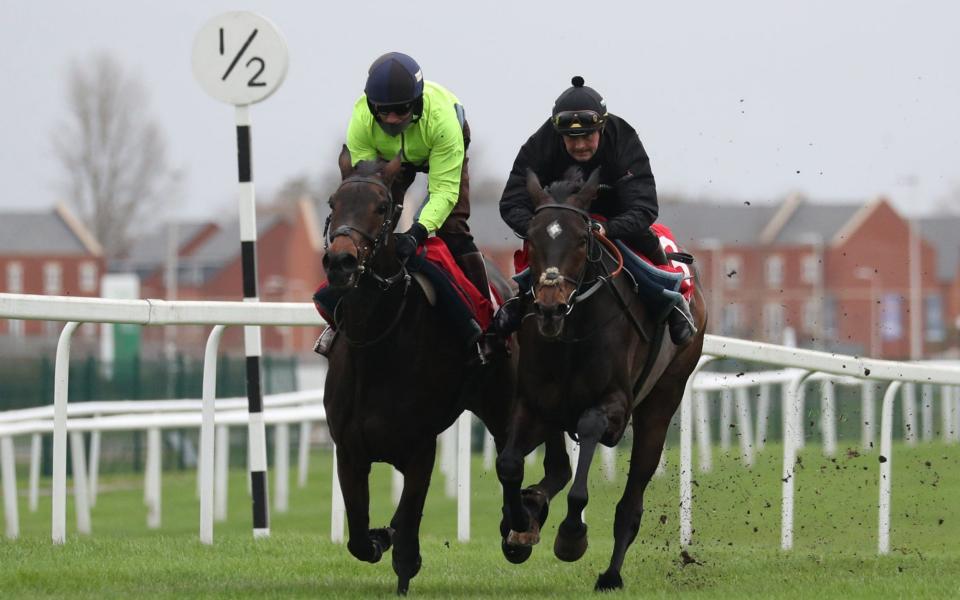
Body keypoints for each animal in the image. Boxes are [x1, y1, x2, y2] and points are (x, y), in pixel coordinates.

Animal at [318, 148, 572, 592]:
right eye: (334, 202)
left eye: (382, 207)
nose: (341, 262)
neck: (377, 346)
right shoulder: (349, 451)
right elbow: (359, 538)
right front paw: (380, 534)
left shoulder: (420, 449)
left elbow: (406, 537)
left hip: (504, 402)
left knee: (526, 464)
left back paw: (520, 526)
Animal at [498, 168, 708, 592]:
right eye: (531, 237)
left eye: (582, 238)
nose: (550, 306)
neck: (571, 331)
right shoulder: (534, 403)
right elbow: (510, 463)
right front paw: (520, 523)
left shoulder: (615, 406)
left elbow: (590, 431)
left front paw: (571, 534)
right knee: (556, 467)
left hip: (663, 399)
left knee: (631, 500)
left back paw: (611, 574)